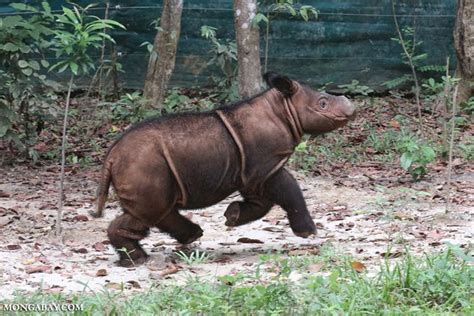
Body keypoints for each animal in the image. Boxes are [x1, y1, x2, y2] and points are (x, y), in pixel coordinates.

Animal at [90, 72, 354, 266]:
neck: (283, 108)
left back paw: (181, 241)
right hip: (142, 164)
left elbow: (262, 203)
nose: (351, 107)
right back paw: (139, 260)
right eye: (322, 103)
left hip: (141, 165)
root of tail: (110, 157)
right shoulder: (266, 166)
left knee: (157, 209)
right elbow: (290, 191)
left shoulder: (252, 172)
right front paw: (308, 233)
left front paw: (232, 216)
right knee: (150, 211)